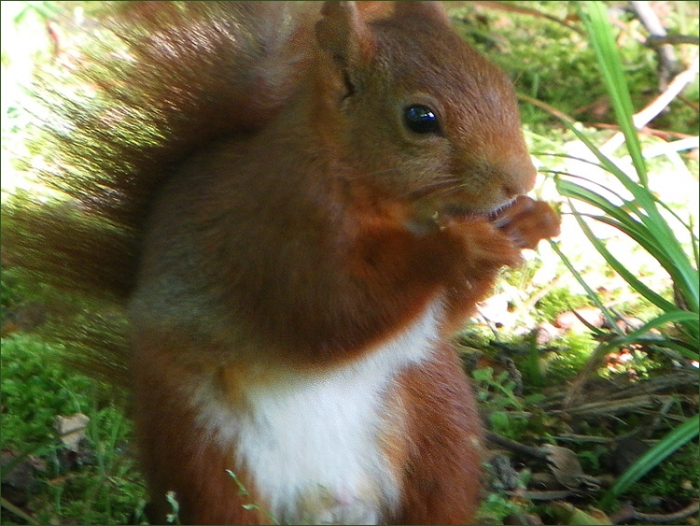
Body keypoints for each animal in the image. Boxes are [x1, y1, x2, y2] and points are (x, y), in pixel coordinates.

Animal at [4, 2, 560, 524]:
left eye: (505, 86)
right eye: (420, 119)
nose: (520, 181)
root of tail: (330, 499)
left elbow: (440, 318)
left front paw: (531, 219)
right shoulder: (278, 234)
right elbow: (331, 313)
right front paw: (460, 244)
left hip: (439, 423)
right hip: (199, 445)